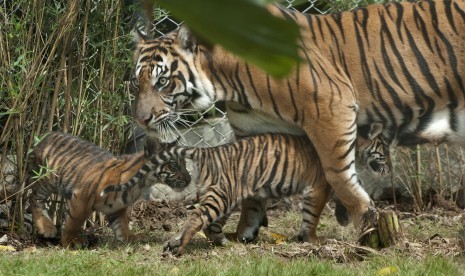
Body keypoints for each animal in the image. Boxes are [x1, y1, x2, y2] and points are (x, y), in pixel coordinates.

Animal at [130, 0, 464, 244]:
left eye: (162, 82)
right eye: (137, 83)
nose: (142, 120)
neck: (228, 84)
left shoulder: (331, 108)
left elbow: (339, 177)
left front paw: (368, 228)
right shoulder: (255, 129)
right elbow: (250, 185)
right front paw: (245, 232)